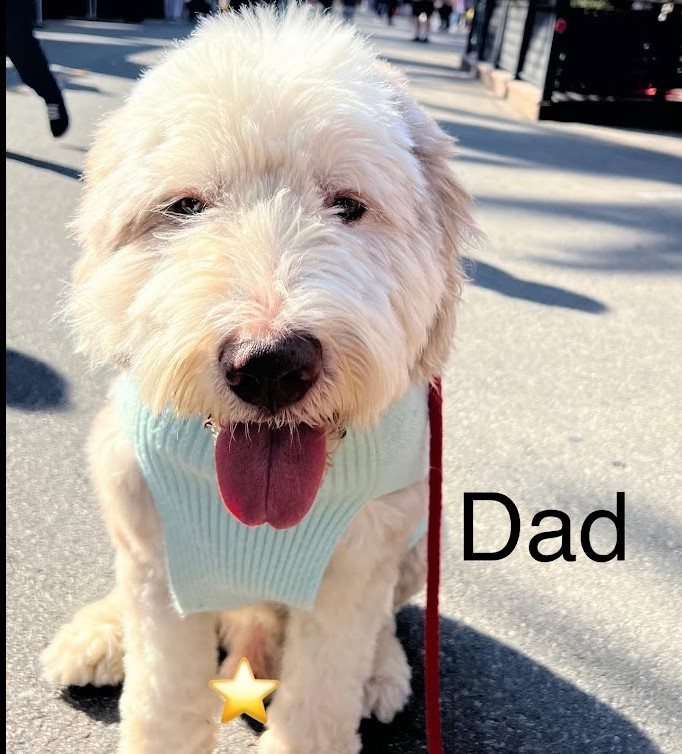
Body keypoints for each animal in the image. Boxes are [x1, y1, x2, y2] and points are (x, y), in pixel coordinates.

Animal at [42, 7, 476, 752]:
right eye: (185, 206)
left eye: (348, 205)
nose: (271, 365)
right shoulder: (159, 560)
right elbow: (162, 703)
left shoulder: (356, 568)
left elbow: (324, 695)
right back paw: (98, 634)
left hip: (424, 529)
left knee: (386, 622)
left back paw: (383, 673)